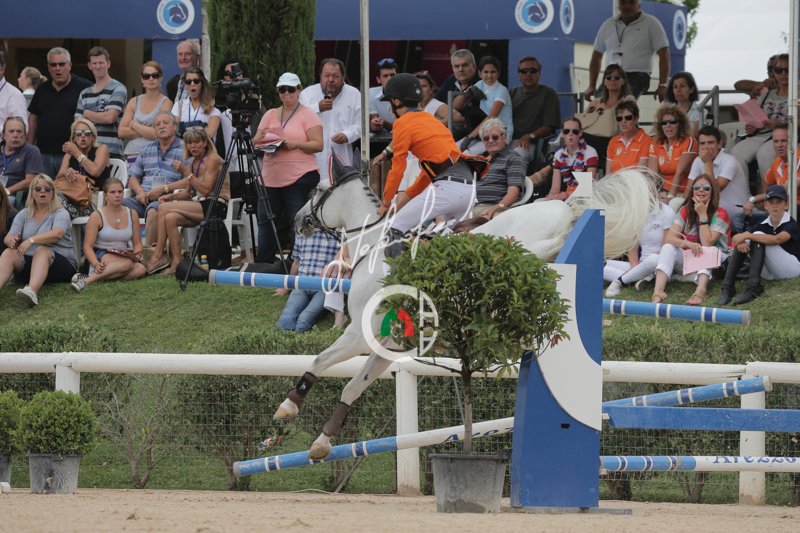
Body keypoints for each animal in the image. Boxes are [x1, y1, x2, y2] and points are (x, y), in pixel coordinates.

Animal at [273, 157, 658, 460]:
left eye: (316, 189)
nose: (298, 221)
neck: (373, 244)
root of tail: (563, 207)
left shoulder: (359, 334)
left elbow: (320, 361)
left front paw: (288, 406)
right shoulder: (387, 346)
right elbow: (352, 388)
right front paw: (322, 442)